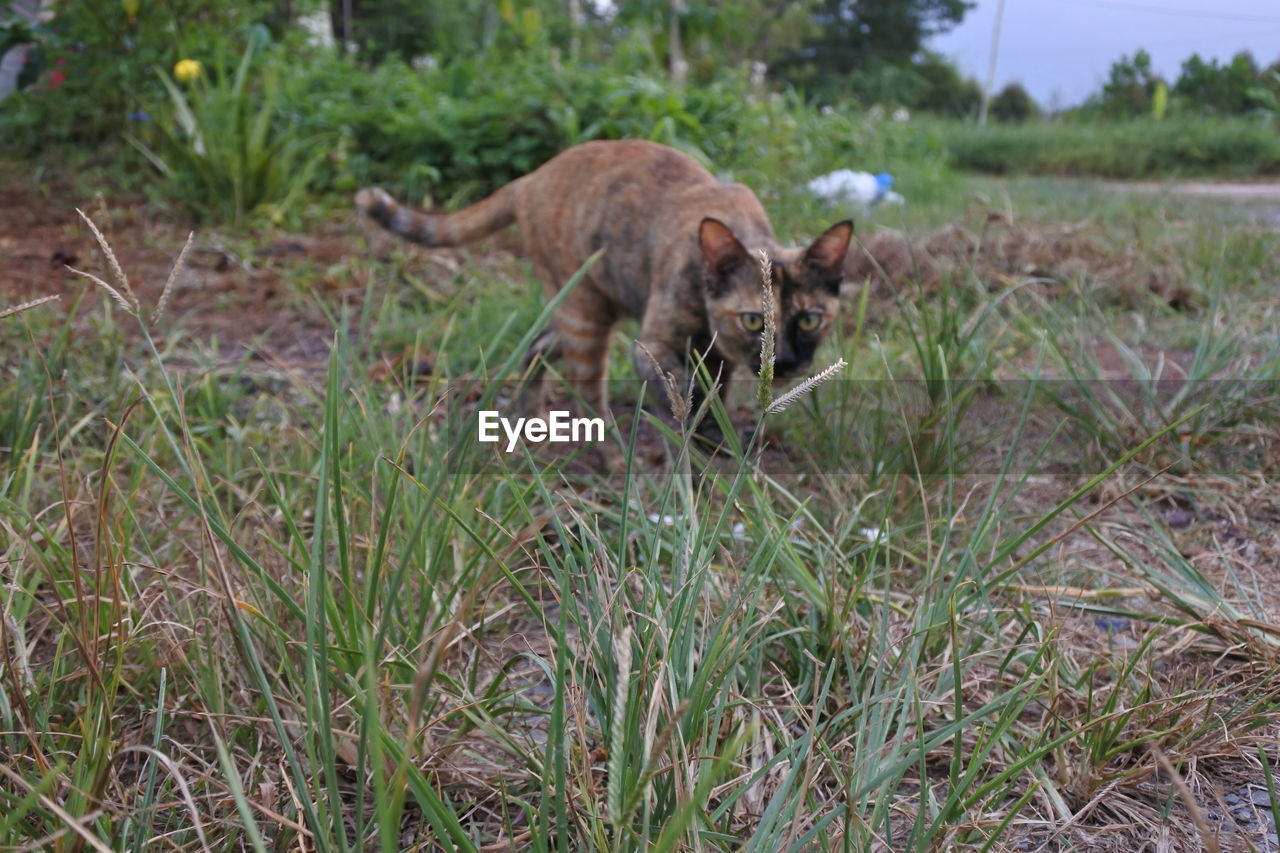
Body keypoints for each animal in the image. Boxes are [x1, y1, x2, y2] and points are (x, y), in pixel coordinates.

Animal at [355, 140, 849, 432]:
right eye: (751, 320)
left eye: (810, 319)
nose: (784, 361)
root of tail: (529, 178)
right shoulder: (655, 345)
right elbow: (683, 392)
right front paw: (688, 436)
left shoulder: (719, 360)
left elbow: (716, 397)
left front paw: (716, 442)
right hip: (585, 317)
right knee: (587, 397)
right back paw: (608, 450)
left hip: (579, 311)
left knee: (536, 346)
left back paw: (527, 416)